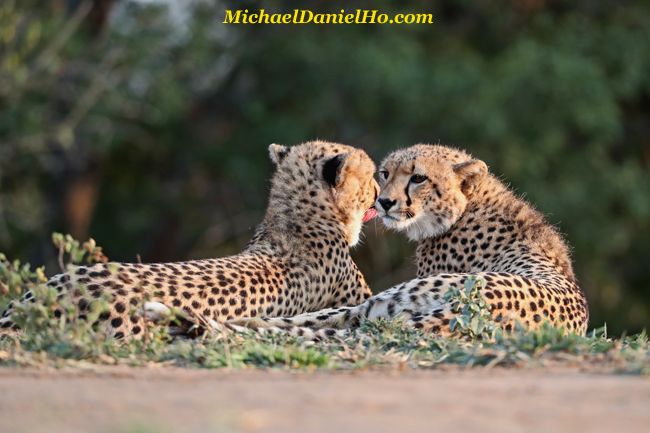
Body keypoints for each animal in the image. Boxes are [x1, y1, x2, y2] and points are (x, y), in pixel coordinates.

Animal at [232, 143, 588, 336]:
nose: (385, 202)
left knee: (331, 318)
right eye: (385, 173)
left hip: (393, 298)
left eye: (418, 178)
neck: (468, 204)